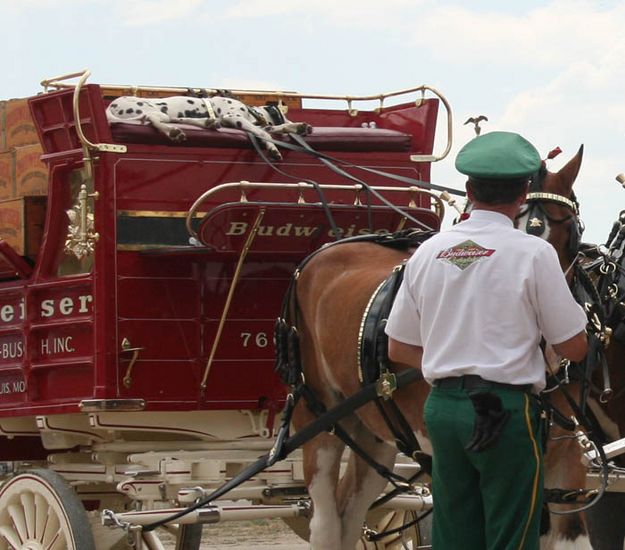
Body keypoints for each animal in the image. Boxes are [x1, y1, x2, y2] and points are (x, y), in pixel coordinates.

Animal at [106, 93, 314, 160]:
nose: (311, 128)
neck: (250, 112)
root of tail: (110, 107)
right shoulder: (233, 116)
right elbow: (267, 133)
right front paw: (273, 148)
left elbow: (269, 130)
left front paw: (297, 127)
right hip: (154, 110)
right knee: (153, 119)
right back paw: (173, 132)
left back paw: (207, 122)